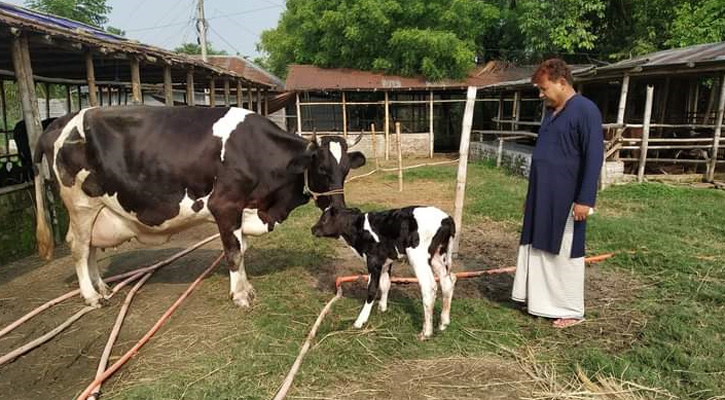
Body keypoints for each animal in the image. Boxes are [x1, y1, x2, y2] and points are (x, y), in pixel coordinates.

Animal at [33, 105, 362, 306]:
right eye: (321, 169)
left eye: (346, 170)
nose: (339, 211)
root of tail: (60, 121)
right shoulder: (224, 205)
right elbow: (233, 251)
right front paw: (240, 295)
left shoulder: (241, 210)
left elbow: (241, 248)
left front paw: (245, 287)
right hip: (80, 204)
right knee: (78, 247)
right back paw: (91, 296)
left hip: (95, 209)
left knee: (89, 247)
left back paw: (102, 286)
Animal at [310, 206, 456, 340]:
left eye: (324, 219)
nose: (312, 229)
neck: (358, 229)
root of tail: (447, 218)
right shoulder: (385, 261)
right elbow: (385, 283)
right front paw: (382, 308)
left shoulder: (373, 261)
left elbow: (372, 289)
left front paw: (360, 321)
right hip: (438, 255)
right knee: (448, 281)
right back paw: (443, 323)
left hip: (418, 256)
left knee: (429, 287)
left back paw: (426, 332)